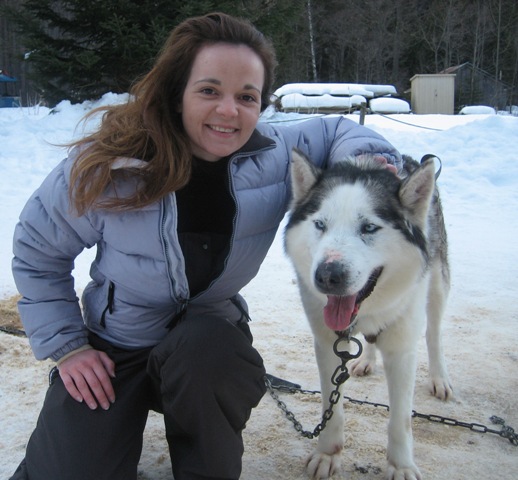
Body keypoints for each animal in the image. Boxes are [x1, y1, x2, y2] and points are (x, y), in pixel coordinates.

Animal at [286, 148, 452, 478]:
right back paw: (365, 360)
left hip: (438, 286)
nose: (327, 276)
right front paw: (328, 453)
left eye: (369, 227)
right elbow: (332, 406)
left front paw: (400, 466)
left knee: (434, 334)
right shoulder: (327, 342)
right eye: (320, 224)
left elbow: (400, 420)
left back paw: (439, 377)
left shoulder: (402, 349)